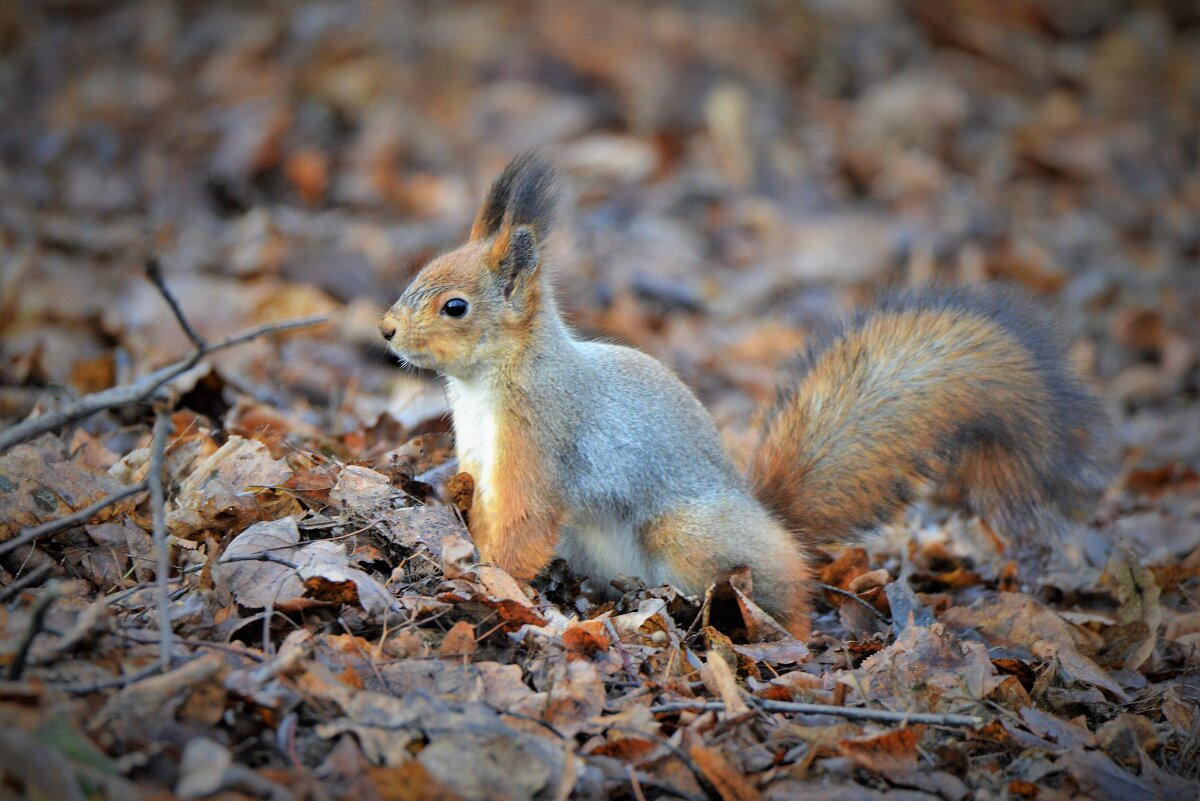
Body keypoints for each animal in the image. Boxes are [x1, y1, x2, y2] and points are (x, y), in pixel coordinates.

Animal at [379, 151, 1108, 637]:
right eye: (419, 271)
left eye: (454, 306)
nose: (385, 329)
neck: (487, 386)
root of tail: (769, 517)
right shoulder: (480, 451)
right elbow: (478, 498)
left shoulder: (542, 442)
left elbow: (523, 526)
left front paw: (486, 572)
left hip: (691, 533)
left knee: (788, 586)